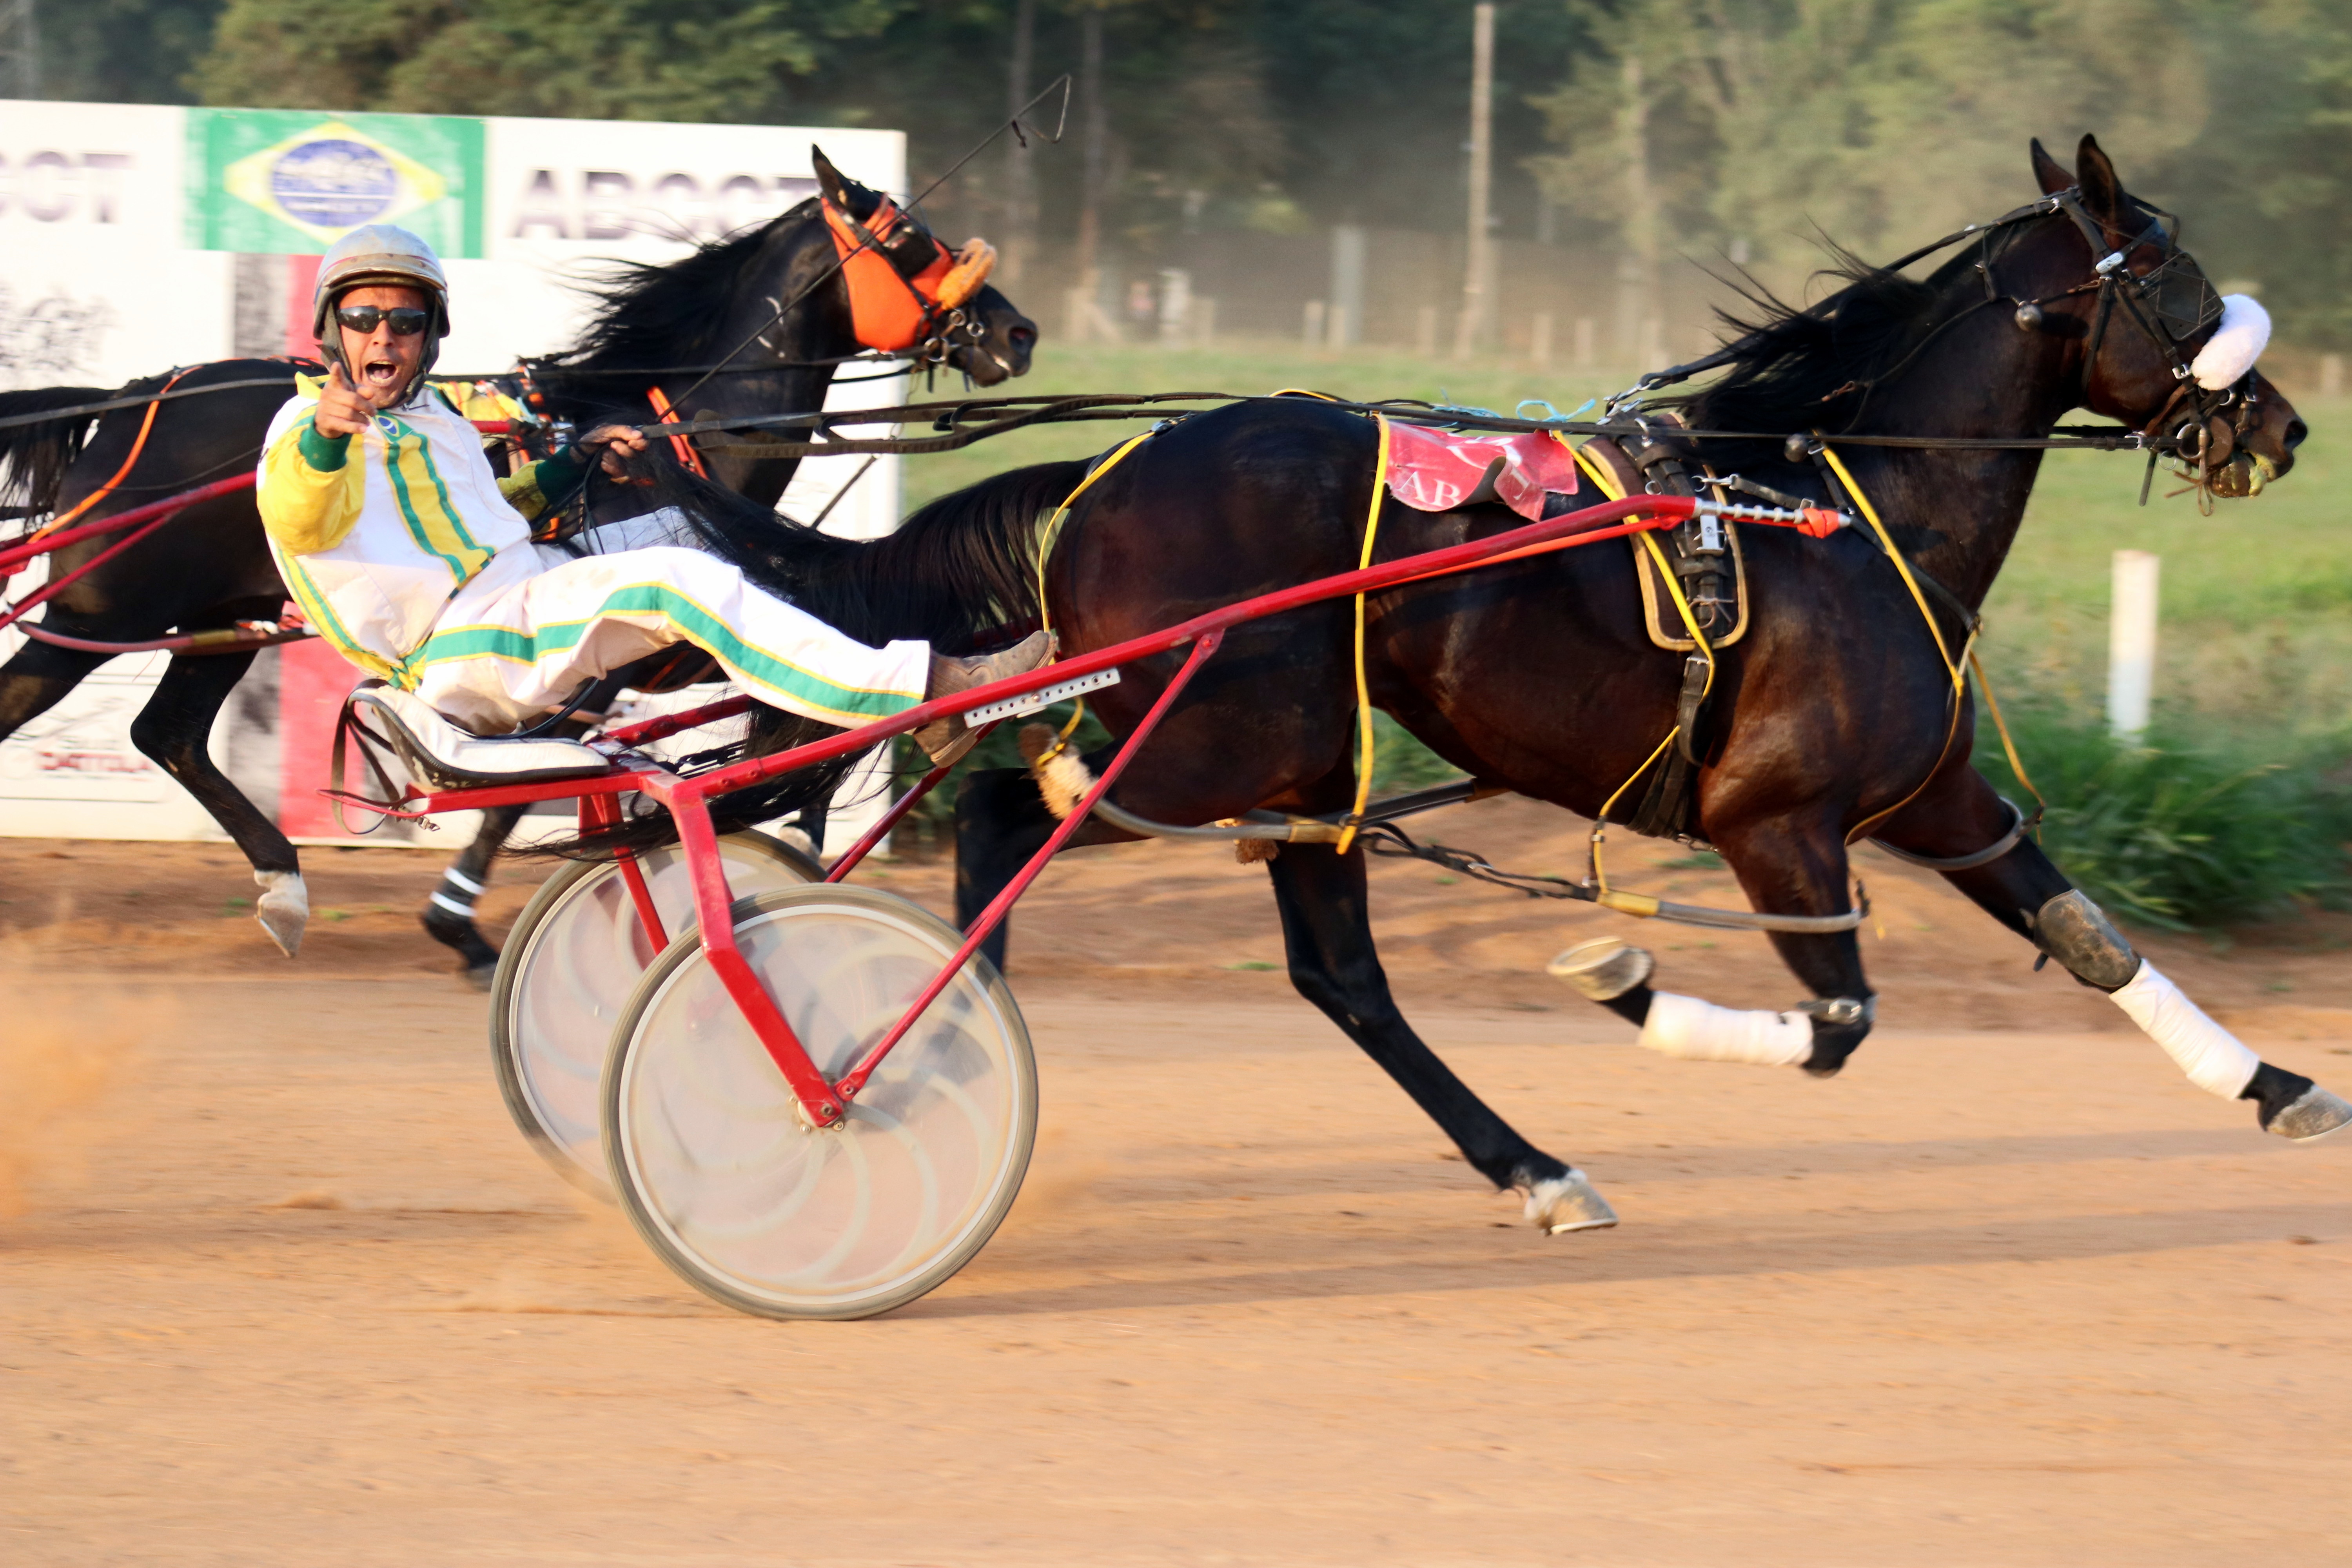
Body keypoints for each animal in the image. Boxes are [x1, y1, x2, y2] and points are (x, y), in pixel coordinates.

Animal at [0, 155, 1035, 973]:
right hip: (96, 614)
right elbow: (523, 789)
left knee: (169, 733)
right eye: (912, 237)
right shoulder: (568, 664)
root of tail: (136, 398)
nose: (1017, 331)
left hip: (220, 621)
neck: (679, 433)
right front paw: (459, 921)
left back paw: (283, 881)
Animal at [665, 133, 2326, 1234]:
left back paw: (1531, 1166)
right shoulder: (1775, 822)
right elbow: (1842, 1020)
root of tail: (1109, 472)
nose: (2283, 426)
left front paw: (2281, 1084)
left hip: (1300, 763)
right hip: (1200, 741)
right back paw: (907, 1057)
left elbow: (2090, 941)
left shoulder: (1933, 798)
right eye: (2175, 282)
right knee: (1020, 820)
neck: (1850, 517)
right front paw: (1632, 983)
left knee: (1338, 972)